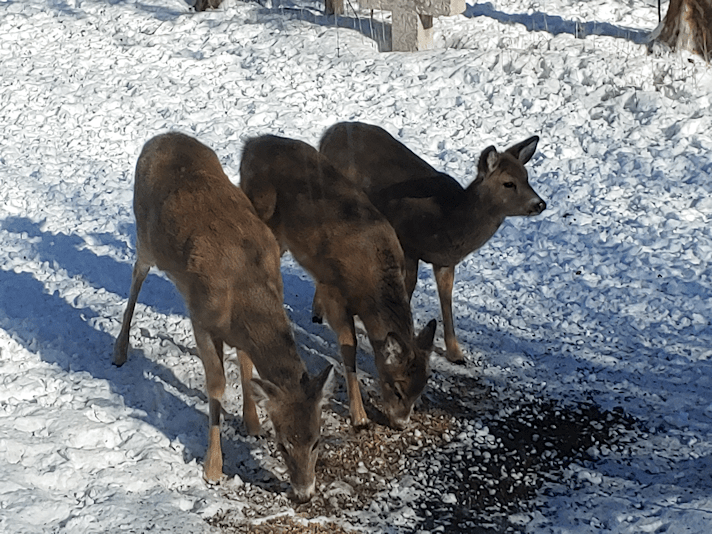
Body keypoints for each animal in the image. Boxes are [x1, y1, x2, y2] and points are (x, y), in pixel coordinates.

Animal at [113, 132, 334, 503]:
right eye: (283, 444)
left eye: (317, 439)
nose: (304, 493)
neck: (244, 289)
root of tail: (160, 137)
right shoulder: (202, 321)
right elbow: (216, 386)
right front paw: (213, 467)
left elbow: (246, 362)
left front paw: (252, 423)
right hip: (144, 235)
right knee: (135, 277)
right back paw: (119, 350)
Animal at [239, 134, 436, 431]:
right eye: (397, 387)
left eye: (421, 389)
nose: (401, 423)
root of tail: (250, 144)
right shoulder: (336, 294)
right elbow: (348, 349)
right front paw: (360, 416)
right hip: (261, 211)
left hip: (284, 235)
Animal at [318, 122, 546, 364]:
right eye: (508, 183)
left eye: (527, 177)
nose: (540, 203)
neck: (446, 218)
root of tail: (329, 133)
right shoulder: (406, 242)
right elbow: (408, 286)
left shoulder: (445, 261)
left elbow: (446, 298)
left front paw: (455, 353)